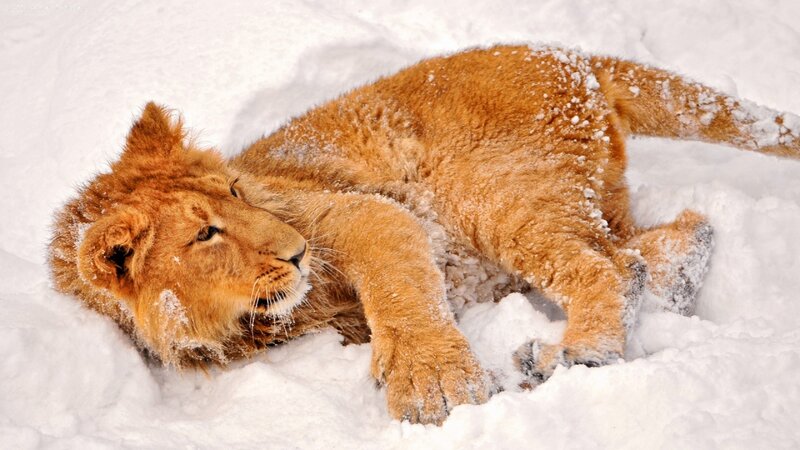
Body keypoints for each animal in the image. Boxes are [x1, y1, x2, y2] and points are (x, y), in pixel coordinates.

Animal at [49, 44, 800, 425]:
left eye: (234, 193)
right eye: (205, 234)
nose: (295, 251)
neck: (240, 324)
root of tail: (566, 53)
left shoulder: (352, 212)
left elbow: (398, 285)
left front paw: (435, 384)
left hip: (489, 191)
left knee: (605, 268)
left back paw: (576, 355)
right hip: (578, 197)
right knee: (663, 242)